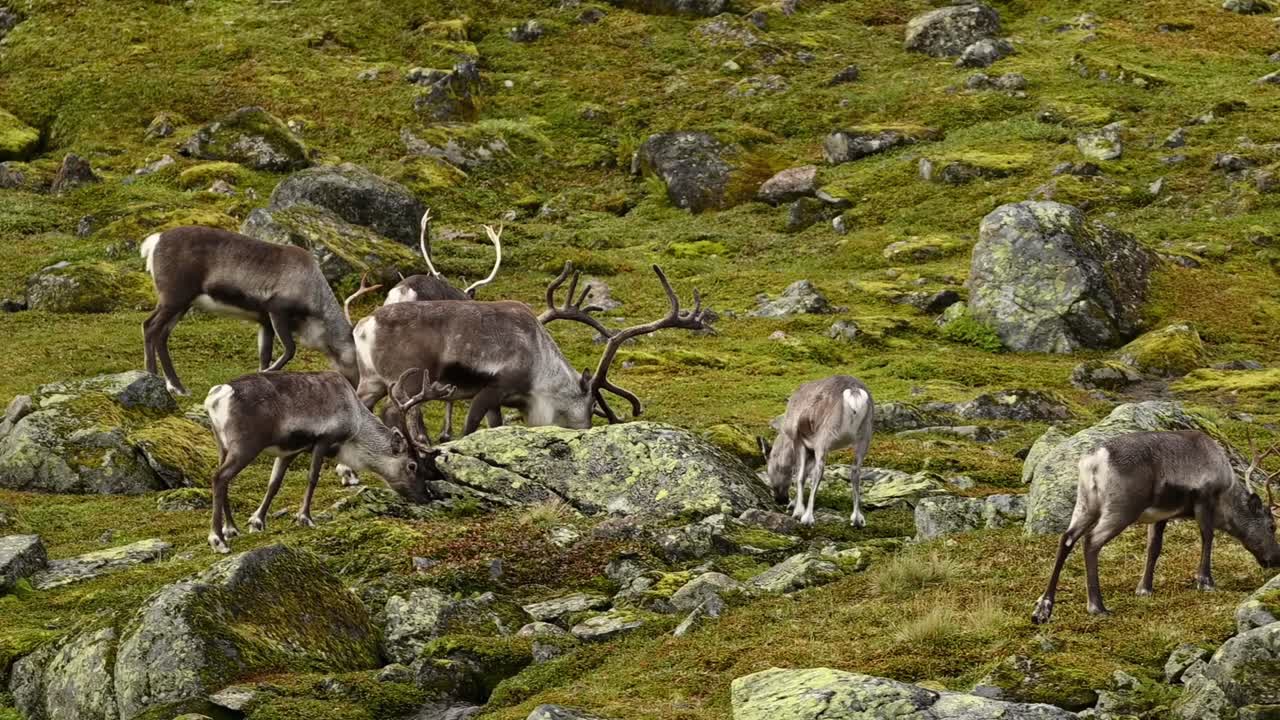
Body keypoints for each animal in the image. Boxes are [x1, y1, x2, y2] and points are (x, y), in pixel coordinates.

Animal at [140, 226, 359, 396]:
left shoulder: (265, 321)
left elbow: (265, 355)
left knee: (162, 335)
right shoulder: (277, 310)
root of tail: (154, 241)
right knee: (150, 326)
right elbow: (290, 350)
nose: (356, 387)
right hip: (174, 297)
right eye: (358, 355)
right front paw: (268, 372)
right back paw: (153, 377)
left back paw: (177, 387)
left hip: (182, 303)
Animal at [202, 367, 454, 553]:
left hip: (222, 444)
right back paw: (218, 540)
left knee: (223, 479)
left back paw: (231, 529)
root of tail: (217, 395)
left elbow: (274, 484)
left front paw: (257, 521)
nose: (426, 496)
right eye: (412, 466)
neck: (356, 425)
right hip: (246, 445)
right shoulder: (324, 440)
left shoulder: (289, 451)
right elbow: (313, 478)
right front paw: (305, 517)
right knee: (219, 477)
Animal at [351, 264, 710, 438]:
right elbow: (470, 428)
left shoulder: (497, 401)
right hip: (407, 382)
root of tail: (364, 325)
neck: (540, 359)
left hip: (372, 381)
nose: (584, 430)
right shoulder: (493, 388)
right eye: (592, 404)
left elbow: (494, 426)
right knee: (397, 412)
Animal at [758, 376, 874, 527]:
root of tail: (854, 392)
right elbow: (805, 473)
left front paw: (798, 511)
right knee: (855, 472)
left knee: (819, 471)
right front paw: (794, 504)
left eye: (769, 470)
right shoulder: (811, 449)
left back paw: (808, 518)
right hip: (865, 437)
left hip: (824, 437)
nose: (780, 499)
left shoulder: (799, 440)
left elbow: (800, 476)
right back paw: (857, 519)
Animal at [1030, 430, 1280, 624]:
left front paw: (1144, 588)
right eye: (1272, 526)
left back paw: (1043, 608)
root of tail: (1094, 461)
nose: (1275, 559)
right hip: (1121, 508)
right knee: (1090, 541)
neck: (1226, 496)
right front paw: (1205, 581)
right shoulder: (1204, 499)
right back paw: (1097, 606)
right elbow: (1208, 537)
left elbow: (1154, 548)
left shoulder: (1161, 515)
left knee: (1066, 539)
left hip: (1086, 503)